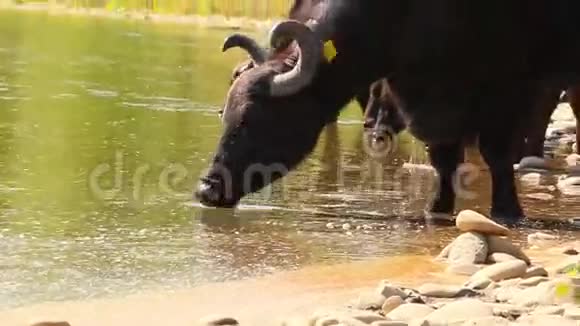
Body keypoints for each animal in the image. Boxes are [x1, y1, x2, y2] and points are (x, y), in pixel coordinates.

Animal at [195, 0, 580, 222]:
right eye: (226, 116)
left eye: (255, 120)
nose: (206, 189)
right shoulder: (423, 98)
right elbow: (443, 157)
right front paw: (437, 209)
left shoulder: (509, 89)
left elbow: (497, 154)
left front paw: (507, 212)